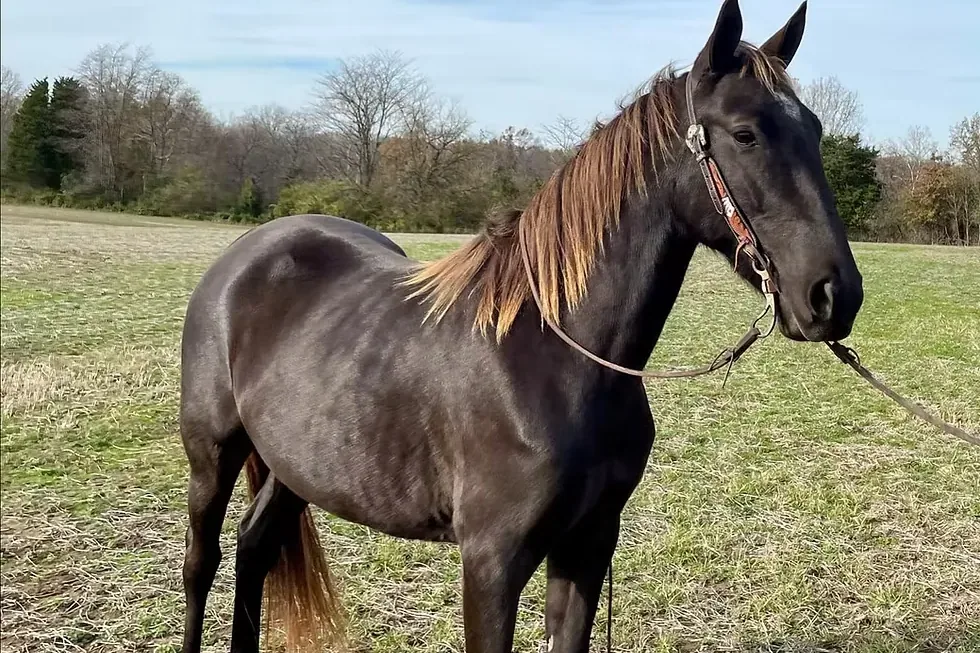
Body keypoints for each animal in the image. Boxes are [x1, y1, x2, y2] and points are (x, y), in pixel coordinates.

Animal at [178, 1, 864, 651]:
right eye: (745, 134)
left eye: (813, 129)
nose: (836, 296)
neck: (559, 360)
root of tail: (250, 252)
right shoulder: (491, 561)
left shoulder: (589, 543)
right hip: (213, 454)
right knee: (202, 565)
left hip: (295, 463)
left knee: (255, 549)